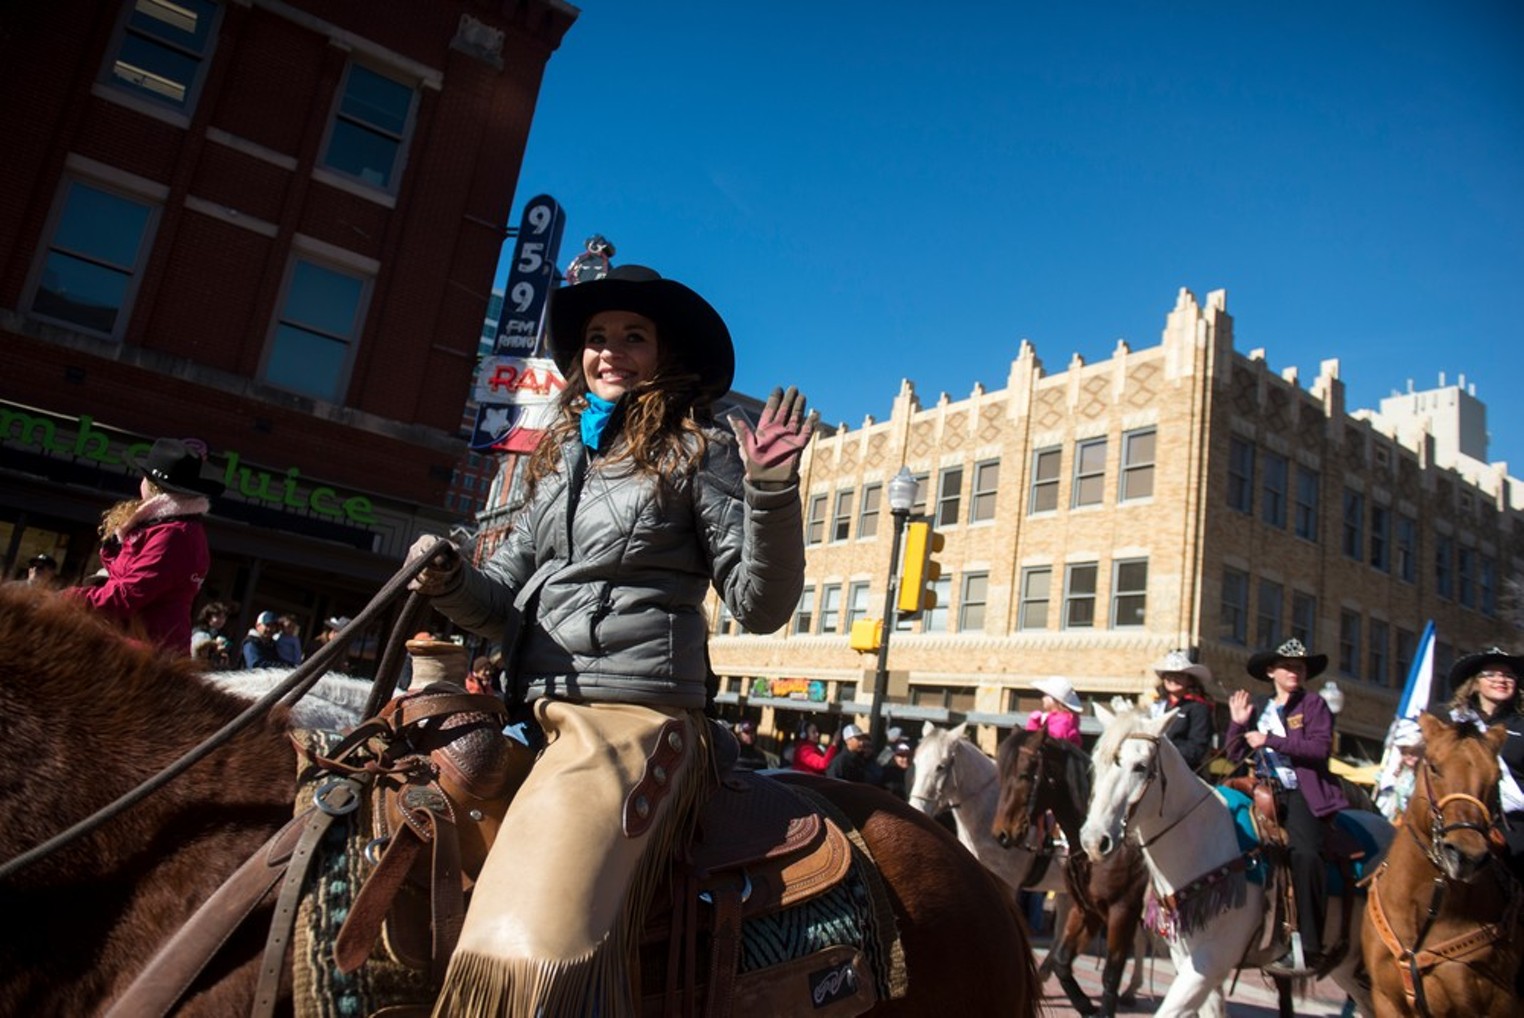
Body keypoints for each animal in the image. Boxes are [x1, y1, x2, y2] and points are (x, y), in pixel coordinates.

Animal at [987, 728, 1146, 1018]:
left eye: (1025, 774)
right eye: (1001, 773)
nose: (1002, 833)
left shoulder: (1122, 910)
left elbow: (1110, 975)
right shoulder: (1088, 909)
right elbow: (1063, 962)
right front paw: (1085, 1006)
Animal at [1078, 704, 1389, 1011]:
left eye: (1140, 766)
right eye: (1096, 763)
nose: (1094, 841)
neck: (1201, 845)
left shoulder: (1209, 962)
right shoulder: (1192, 963)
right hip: (1348, 970)